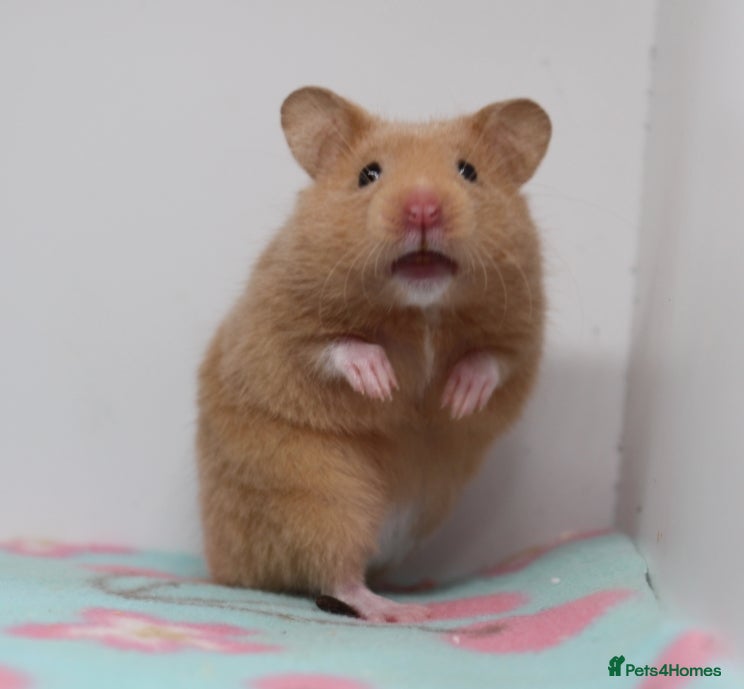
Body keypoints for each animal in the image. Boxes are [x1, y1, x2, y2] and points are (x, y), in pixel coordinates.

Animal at [196, 86, 551, 623]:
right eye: (369, 174)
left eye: (468, 171)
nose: (423, 208)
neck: (422, 306)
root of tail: (226, 568)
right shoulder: (276, 326)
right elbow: (332, 346)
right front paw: (382, 382)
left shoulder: (522, 335)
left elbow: (492, 359)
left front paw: (456, 398)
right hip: (321, 497)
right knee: (336, 573)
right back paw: (403, 612)